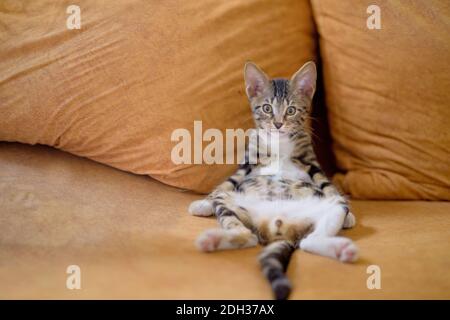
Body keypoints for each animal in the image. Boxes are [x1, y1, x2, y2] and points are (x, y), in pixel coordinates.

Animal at [188, 60, 356, 300]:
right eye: (267, 108)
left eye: (291, 110)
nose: (277, 124)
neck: (279, 142)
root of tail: (279, 228)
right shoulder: (249, 162)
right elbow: (228, 181)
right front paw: (203, 203)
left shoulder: (310, 161)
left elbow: (326, 183)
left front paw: (350, 215)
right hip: (231, 205)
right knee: (246, 234)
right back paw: (212, 239)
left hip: (330, 208)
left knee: (307, 240)